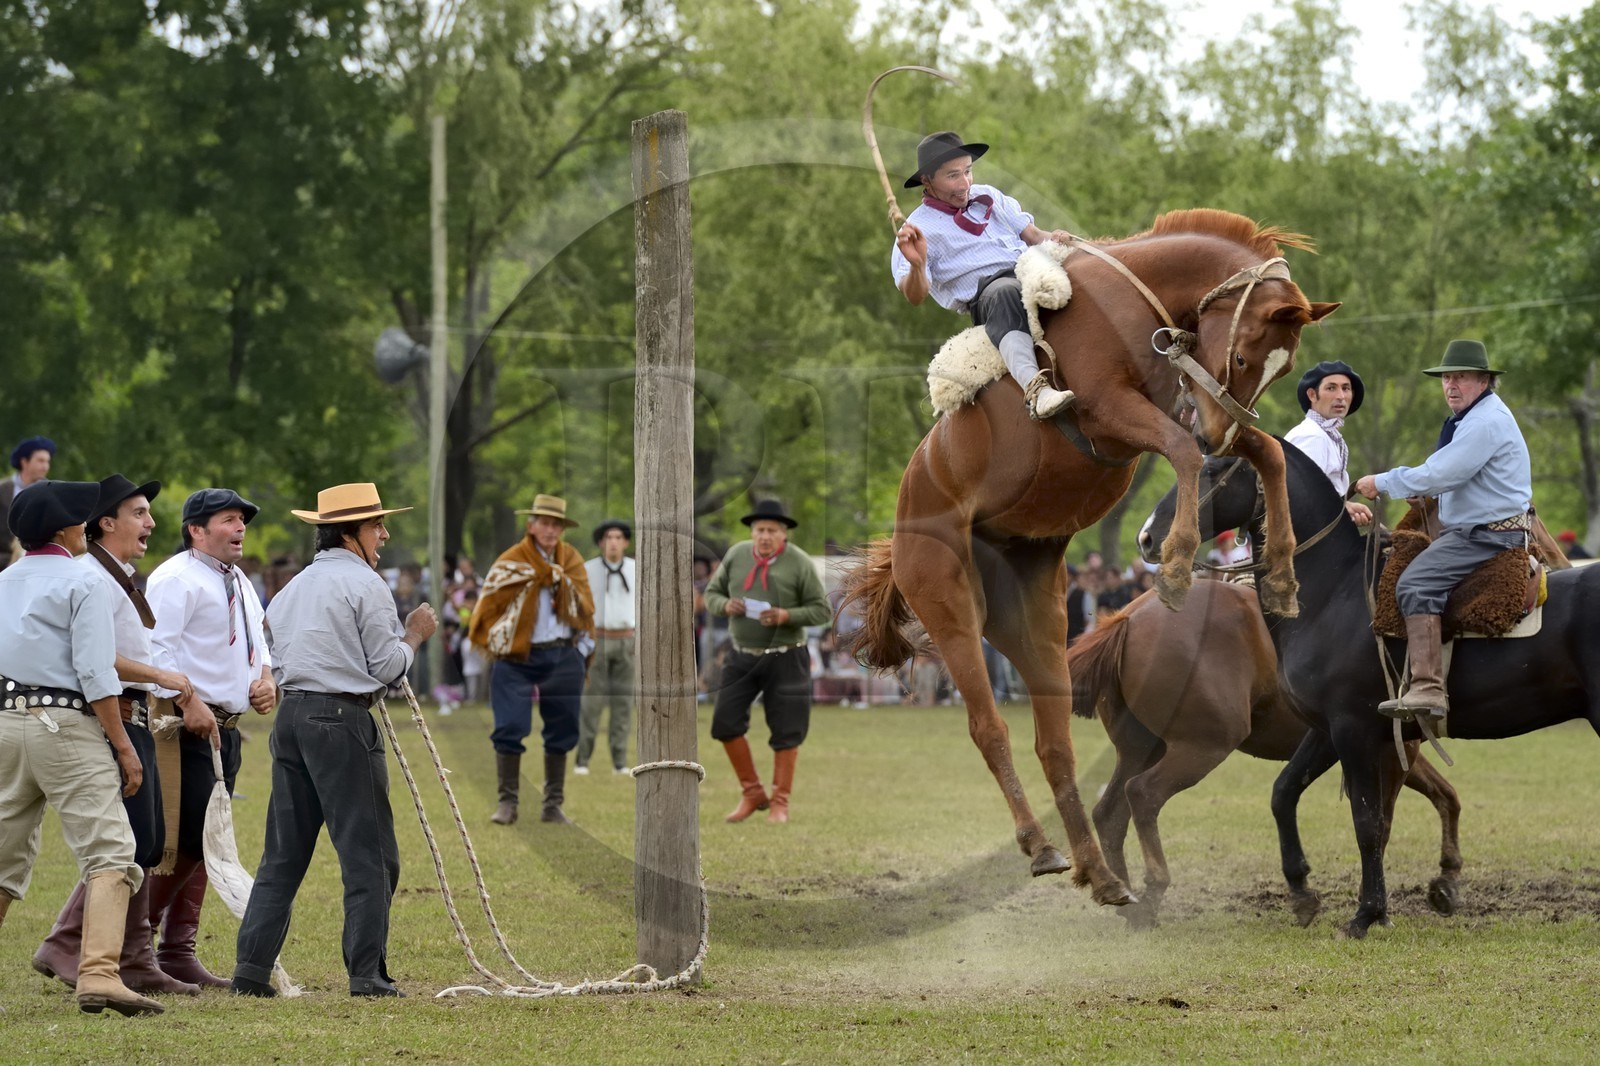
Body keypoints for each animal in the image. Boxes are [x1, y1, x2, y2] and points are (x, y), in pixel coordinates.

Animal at [841, 210, 1338, 907]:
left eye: (1281, 368)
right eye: (1242, 354)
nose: (1221, 432)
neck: (1128, 304)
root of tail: (906, 510)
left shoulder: (1184, 407)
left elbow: (1263, 453)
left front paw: (1284, 575)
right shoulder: (1115, 408)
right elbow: (1183, 451)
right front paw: (1177, 565)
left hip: (1038, 620)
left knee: (1055, 743)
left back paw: (1099, 874)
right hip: (950, 608)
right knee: (989, 728)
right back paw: (1041, 847)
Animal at [1068, 582, 1461, 928]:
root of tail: (1130, 618)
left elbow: (1446, 796)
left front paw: (1446, 877)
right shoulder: (1393, 749)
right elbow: (1384, 825)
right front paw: (1378, 908)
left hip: (1139, 750)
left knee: (1110, 813)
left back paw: (1126, 899)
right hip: (1201, 746)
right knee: (1143, 794)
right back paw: (1152, 890)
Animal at [1140, 438, 1600, 936]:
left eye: (1215, 469)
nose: (1147, 538)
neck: (1333, 592)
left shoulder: (1354, 730)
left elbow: (1368, 823)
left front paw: (1367, 914)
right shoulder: (1328, 731)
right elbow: (1285, 793)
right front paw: (1303, 893)